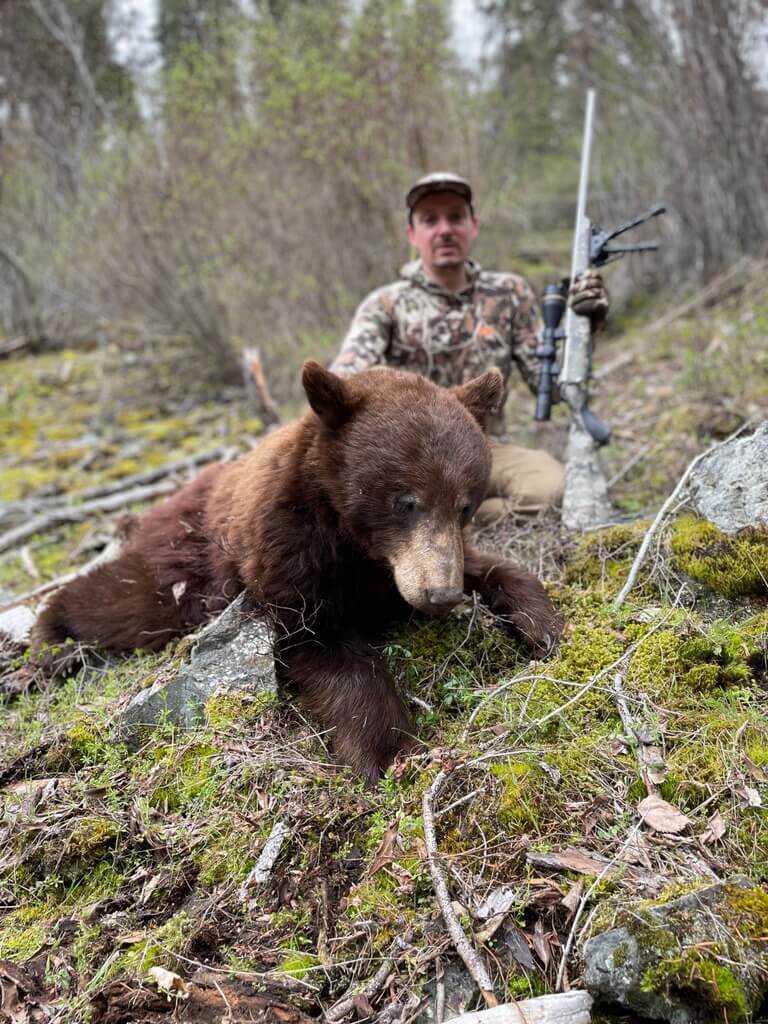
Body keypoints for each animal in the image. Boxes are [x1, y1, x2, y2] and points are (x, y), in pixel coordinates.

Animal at [30, 362, 564, 783]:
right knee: (127, 601)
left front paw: (542, 626)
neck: (355, 541)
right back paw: (48, 636)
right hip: (188, 555)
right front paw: (390, 750)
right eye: (405, 500)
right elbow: (320, 640)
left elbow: (492, 566)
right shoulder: (290, 552)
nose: (441, 593)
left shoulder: (411, 562)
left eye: (465, 504)